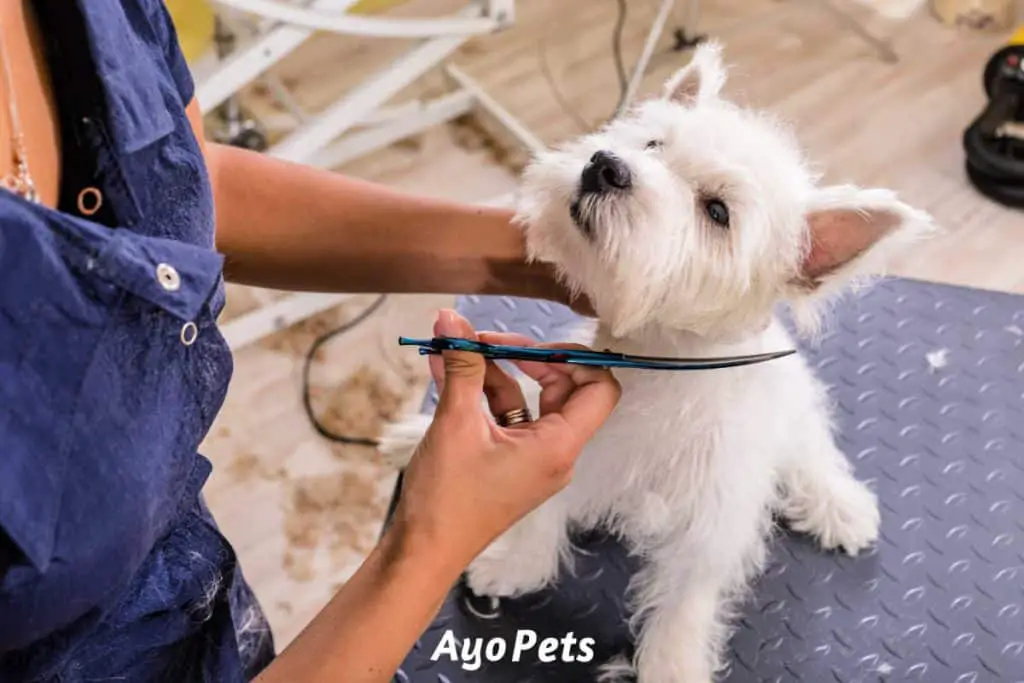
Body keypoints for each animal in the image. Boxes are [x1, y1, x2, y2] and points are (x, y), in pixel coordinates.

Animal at [382, 44, 937, 683]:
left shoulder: (711, 517)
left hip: (794, 412)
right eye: (652, 145)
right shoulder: (579, 445)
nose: (605, 165)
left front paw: (671, 663)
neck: (659, 363)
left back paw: (840, 506)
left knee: (811, 452)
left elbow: (686, 599)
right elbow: (543, 507)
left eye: (717, 211)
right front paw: (516, 563)